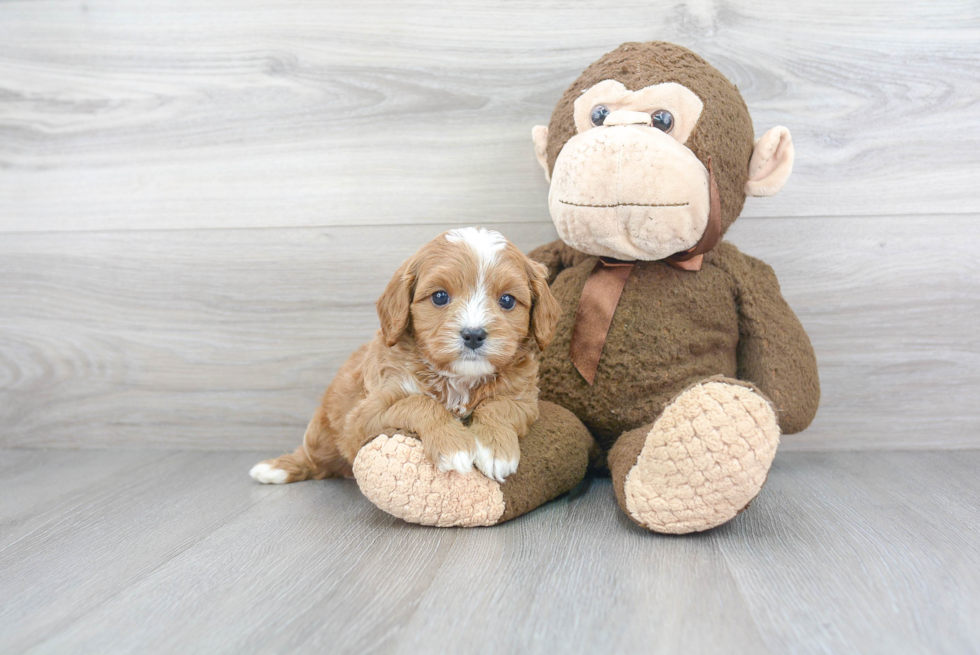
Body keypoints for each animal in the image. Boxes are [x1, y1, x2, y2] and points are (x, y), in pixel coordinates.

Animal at [249, 228, 564, 484]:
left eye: (507, 300)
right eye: (439, 297)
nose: (473, 334)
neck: (458, 379)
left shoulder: (523, 399)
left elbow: (498, 406)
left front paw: (496, 449)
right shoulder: (364, 415)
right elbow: (419, 402)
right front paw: (453, 445)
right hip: (323, 433)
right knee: (314, 458)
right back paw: (276, 469)